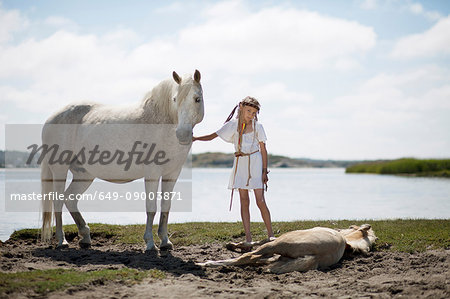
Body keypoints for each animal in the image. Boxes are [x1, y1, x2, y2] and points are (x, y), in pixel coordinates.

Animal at [40, 70, 204, 251]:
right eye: (175, 99)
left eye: (197, 99)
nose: (182, 134)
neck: (160, 122)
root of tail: (51, 118)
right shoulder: (152, 173)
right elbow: (151, 208)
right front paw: (150, 243)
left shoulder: (172, 174)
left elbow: (165, 207)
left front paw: (165, 241)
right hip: (60, 170)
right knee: (58, 201)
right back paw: (62, 240)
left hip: (84, 175)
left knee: (70, 198)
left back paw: (85, 237)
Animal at [197, 225, 376, 274]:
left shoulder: (273, 243)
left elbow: (257, 243)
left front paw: (233, 245)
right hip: (279, 254)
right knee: (252, 259)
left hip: (278, 244)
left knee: (246, 258)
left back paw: (204, 264)